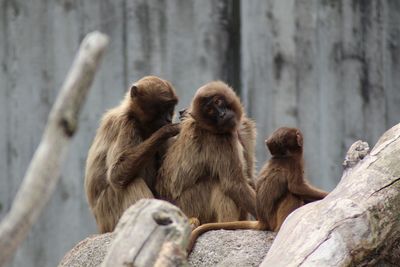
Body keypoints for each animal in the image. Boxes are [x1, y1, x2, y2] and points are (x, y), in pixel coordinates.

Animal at [85, 76, 180, 234]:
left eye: (171, 107)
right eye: (164, 107)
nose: (168, 119)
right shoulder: (126, 125)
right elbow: (116, 175)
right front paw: (167, 131)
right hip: (109, 214)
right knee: (131, 182)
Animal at [156, 81, 256, 226]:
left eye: (218, 102)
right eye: (210, 110)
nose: (222, 114)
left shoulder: (244, 129)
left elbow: (248, 176)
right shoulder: (220, 139)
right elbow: (234, 185)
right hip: (187, 206)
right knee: (218, 183)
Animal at [189, 127, 330, 253]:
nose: (301, 138)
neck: (283, 156)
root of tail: (263, 221)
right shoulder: (293, 163)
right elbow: (296, 187)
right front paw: (326, 195)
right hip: (273, 219)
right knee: (292, 196)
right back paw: (280, 229)